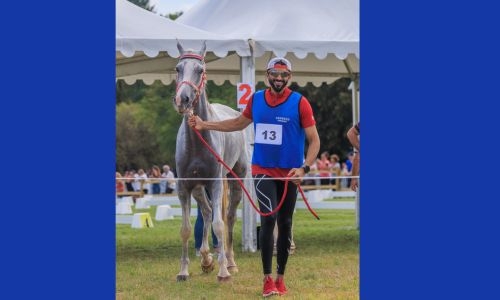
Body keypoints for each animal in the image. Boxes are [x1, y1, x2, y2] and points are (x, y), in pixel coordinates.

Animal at [174, 41, 248, 282]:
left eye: (200, 70)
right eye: (178, 68)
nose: (183, 99)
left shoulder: (216, 183)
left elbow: (219, 224)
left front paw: (224, 272)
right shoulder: (184, 187)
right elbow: (186, 229)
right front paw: (183, 271)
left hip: (235, 179)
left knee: (229, 217)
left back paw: (230, 262)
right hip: (199, 188)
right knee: (206, 212)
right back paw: (206, 259)